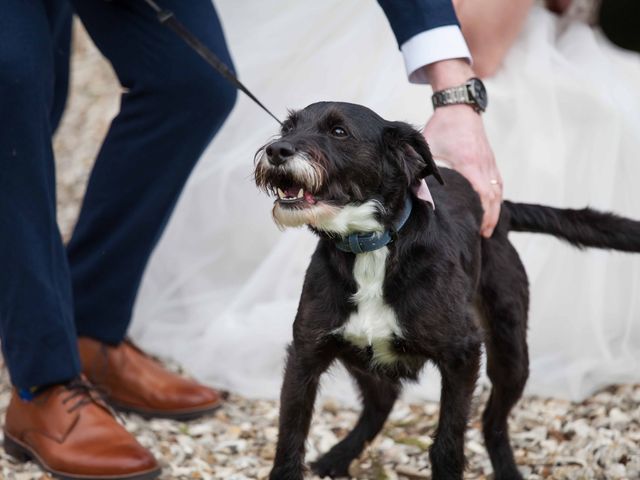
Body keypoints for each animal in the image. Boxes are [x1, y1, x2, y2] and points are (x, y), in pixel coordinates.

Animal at [252, 102, 636, 480]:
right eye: (287, 127)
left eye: (338, 131)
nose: (277, 150)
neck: (371, 248)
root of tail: (499, 213)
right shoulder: (306, 354)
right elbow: (290, 436)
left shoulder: (463, 355)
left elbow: (448, 443)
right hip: (362, 359)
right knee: (382, 403)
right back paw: (339, 456)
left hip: (510, 352)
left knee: (492, 422)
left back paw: (507, 468)